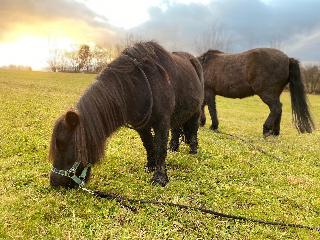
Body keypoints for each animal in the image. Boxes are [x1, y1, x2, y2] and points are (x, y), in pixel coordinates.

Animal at [48, 41, 204, 188]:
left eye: (62, 144)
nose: (55, 182)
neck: (140, 85)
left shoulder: (162, 122)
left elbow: (160, 147)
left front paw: (160, 178)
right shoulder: (142, 127)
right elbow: (148, 144)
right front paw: (150, 167)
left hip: (196, 110)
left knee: (193, 128)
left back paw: (193, 149)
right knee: (177, 128)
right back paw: (174, 148)